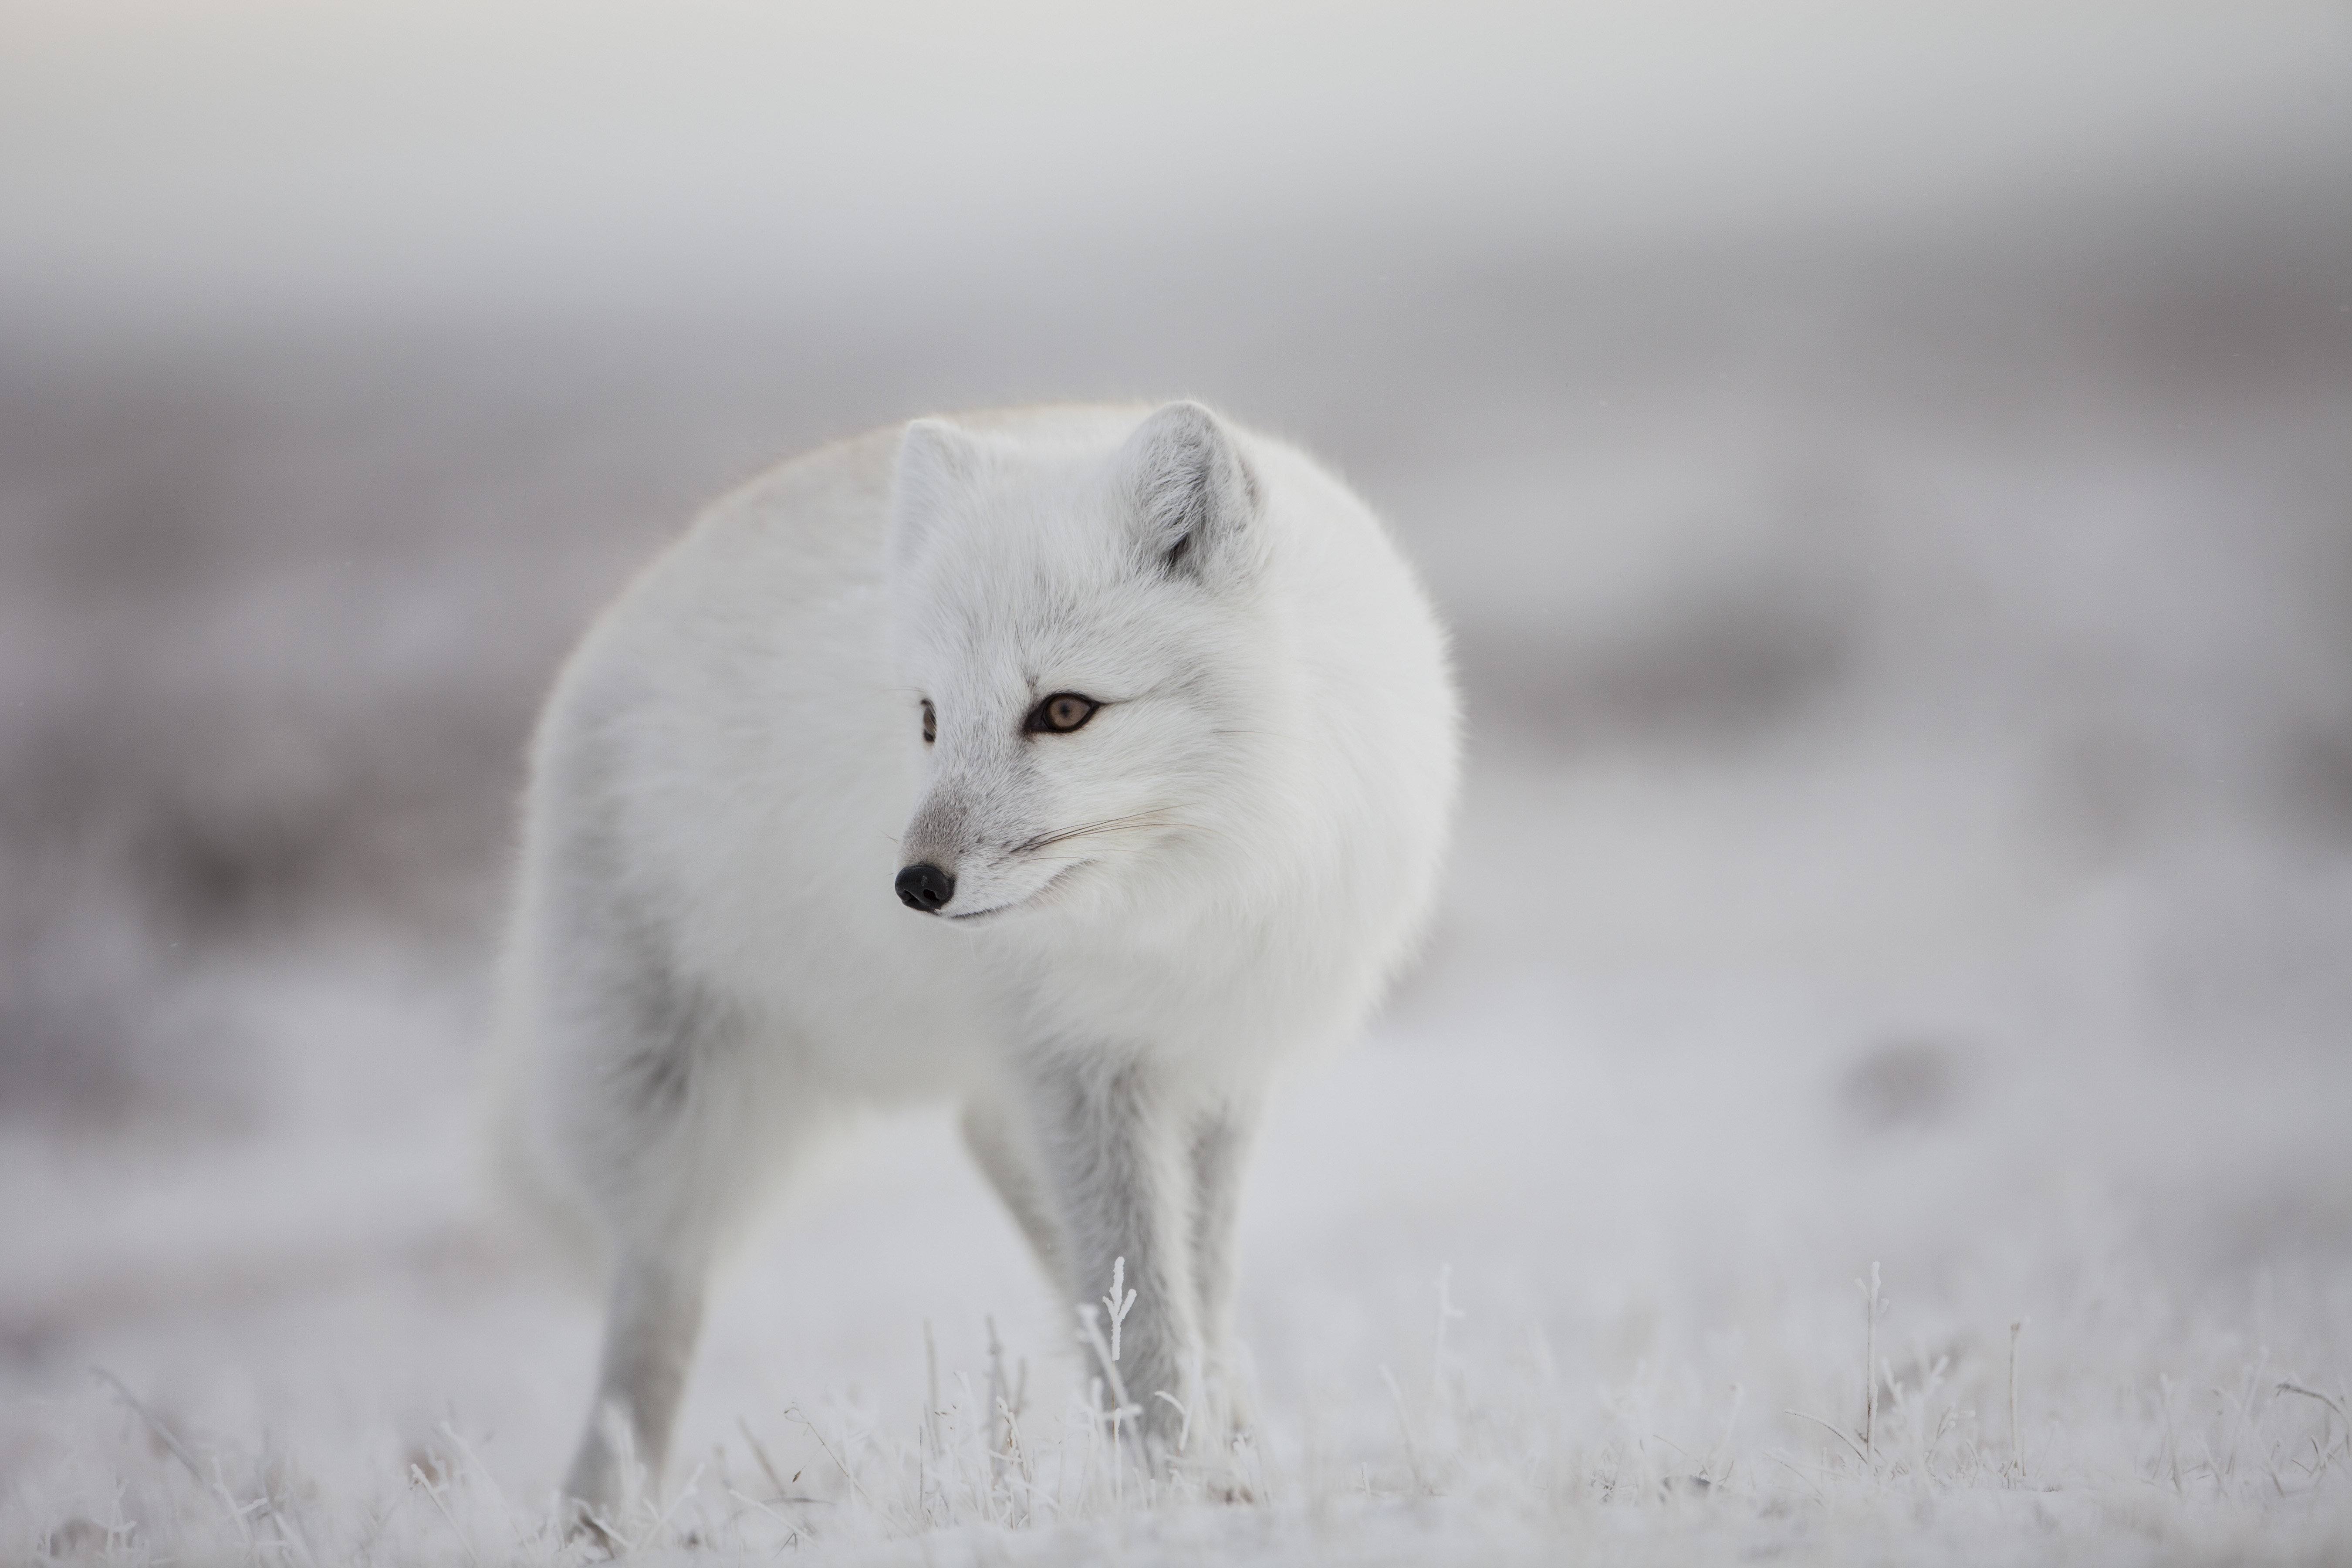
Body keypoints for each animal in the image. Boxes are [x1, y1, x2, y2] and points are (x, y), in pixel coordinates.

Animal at [495, 400, 1458, 1523]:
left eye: (1065, 711)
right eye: (927, 718)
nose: (917, 886)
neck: (1180, 901)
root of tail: (616, 621)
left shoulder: (1212, 1061)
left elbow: (1191, 1289)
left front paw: (1214, 1463)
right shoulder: (1078, 1065)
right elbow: (1146, 1310)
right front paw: (1175, 1491)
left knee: (992, 1150)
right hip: (673, 1099)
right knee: (658, 1286)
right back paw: (603, 1510)